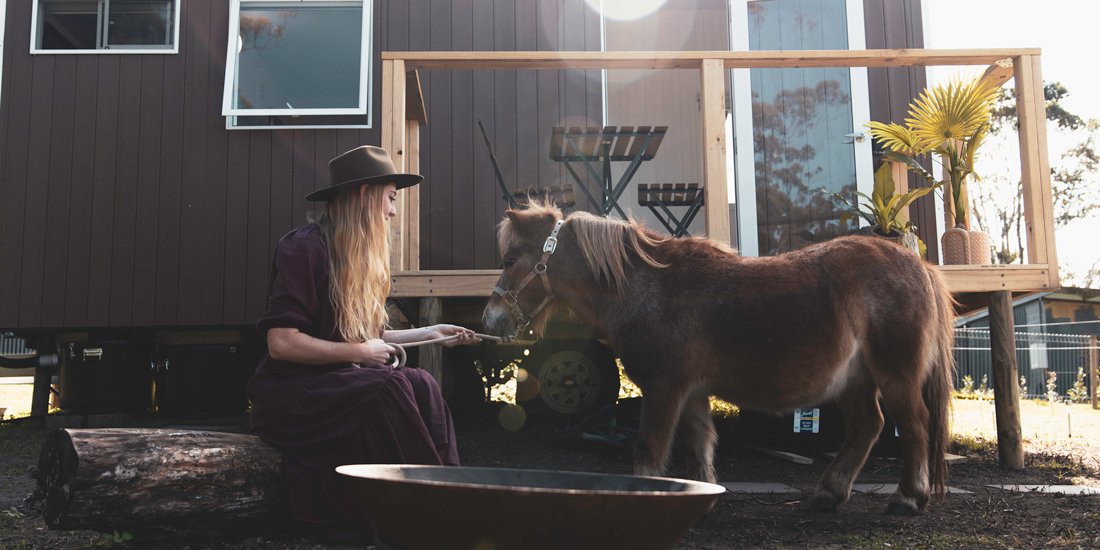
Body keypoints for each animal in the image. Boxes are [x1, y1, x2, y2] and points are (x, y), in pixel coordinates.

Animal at [481, 203, 954, 514]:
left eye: (509, 258)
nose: (490, 318)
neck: (647, 287)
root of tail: (917, 264)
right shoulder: (689, 393)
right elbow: (699, 447)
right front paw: (703, 497)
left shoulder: (664, 389)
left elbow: (649, 451)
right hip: (856, 380)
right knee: (866, 428)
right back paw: (829, 494)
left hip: (895, 374)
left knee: (913, 425)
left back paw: (907, 498)